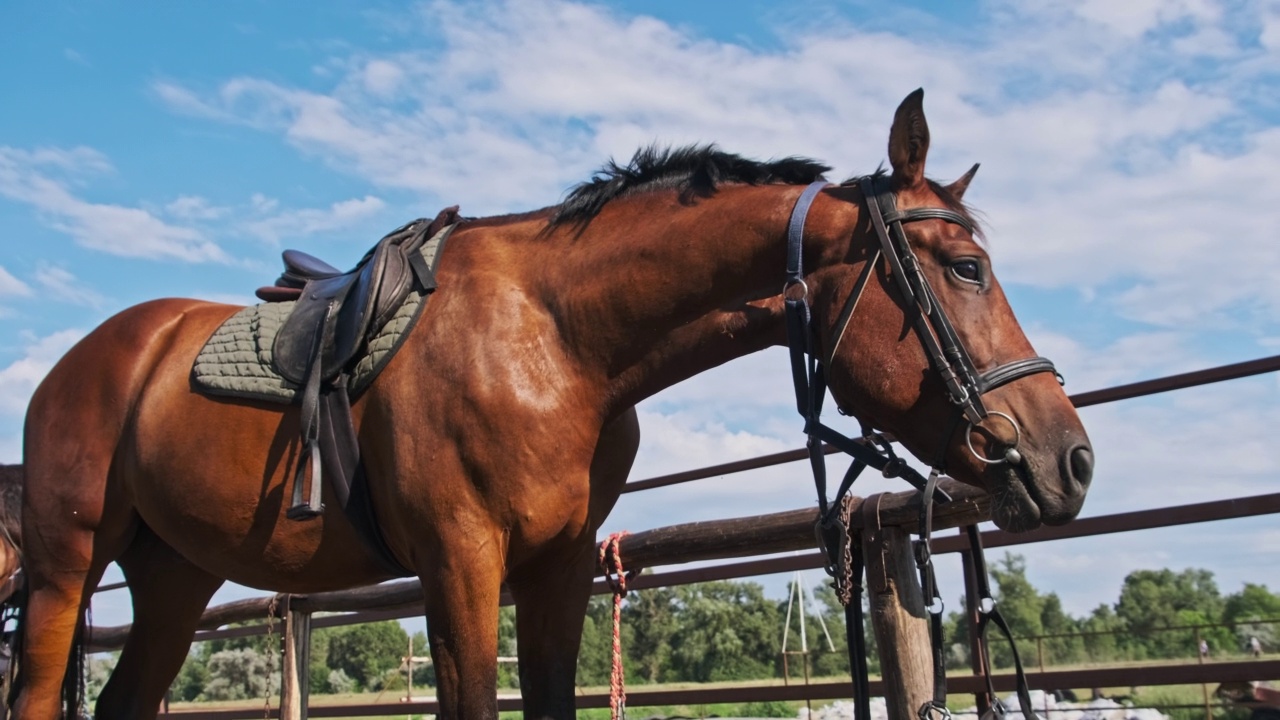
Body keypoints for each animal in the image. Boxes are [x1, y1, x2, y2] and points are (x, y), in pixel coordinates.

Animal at [10, 90, 1090, 717]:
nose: (1068, 459)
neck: (560, 343)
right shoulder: (459, 565)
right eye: (964, 268)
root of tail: (87, 359)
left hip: (174, 582)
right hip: (66, 570)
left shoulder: (558, 568)